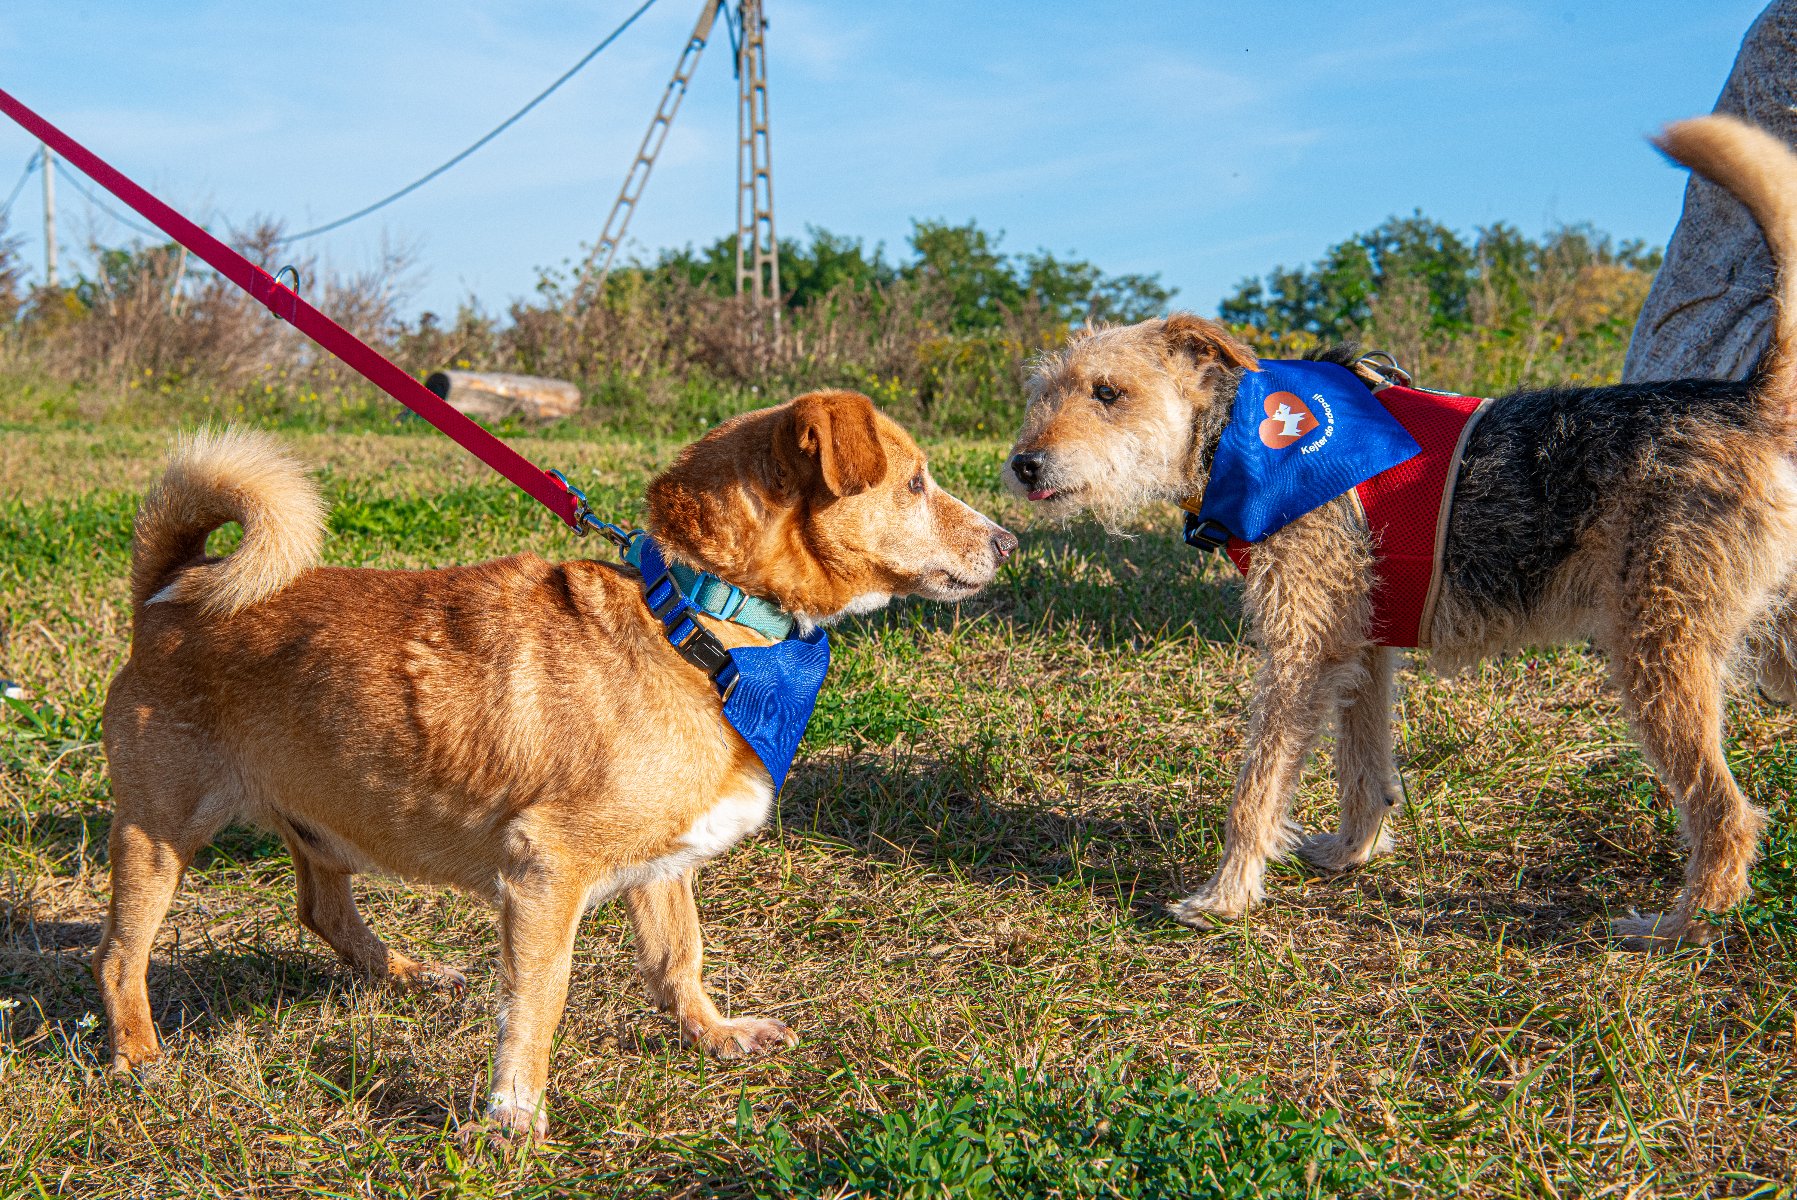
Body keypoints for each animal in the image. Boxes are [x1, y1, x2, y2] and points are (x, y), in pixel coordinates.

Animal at [98, 389, 1020, 1142]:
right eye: (915, 483)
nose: (1010, 541)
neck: (698, 621)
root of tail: (169, 589)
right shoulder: (544, 873)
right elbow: (537, 1004)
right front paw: (514, 1116)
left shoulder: (664, 865)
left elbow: (678, 958)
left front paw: (711, 1033)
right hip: (159, 833)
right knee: (118, 957)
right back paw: (139, 1062)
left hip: (323, 820)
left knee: (322, 912)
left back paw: (405, 974)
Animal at [1006, 116, 1797, 948]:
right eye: (1042, 392)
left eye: (1107, 393)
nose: (1022, 466)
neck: (1234, 435)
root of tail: (1749, 401)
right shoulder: (1361, 644)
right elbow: (1362, 768)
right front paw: (1349, 854)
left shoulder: (1302, 646)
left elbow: (1257, 785)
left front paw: (1225, 896)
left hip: (1659, 654)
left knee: (1726, 814)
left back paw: (1677, 927)